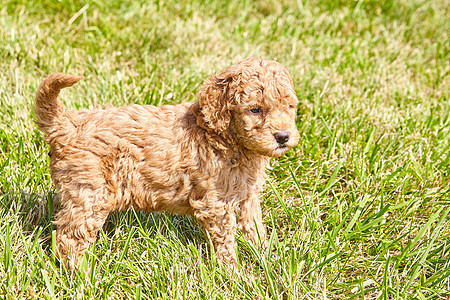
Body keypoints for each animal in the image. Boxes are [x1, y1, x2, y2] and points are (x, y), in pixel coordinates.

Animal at [35, 56, 300, 270]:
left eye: (289, 107)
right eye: (255, 110)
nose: (283, 136)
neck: (223, 136)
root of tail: (68, 123)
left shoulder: (247, 194)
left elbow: (255, 228)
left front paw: (268, 257)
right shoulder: (216, 202)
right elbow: (225, 240)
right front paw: (235, 274)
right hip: (92, 191)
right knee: (70, 237)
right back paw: (81, 275)